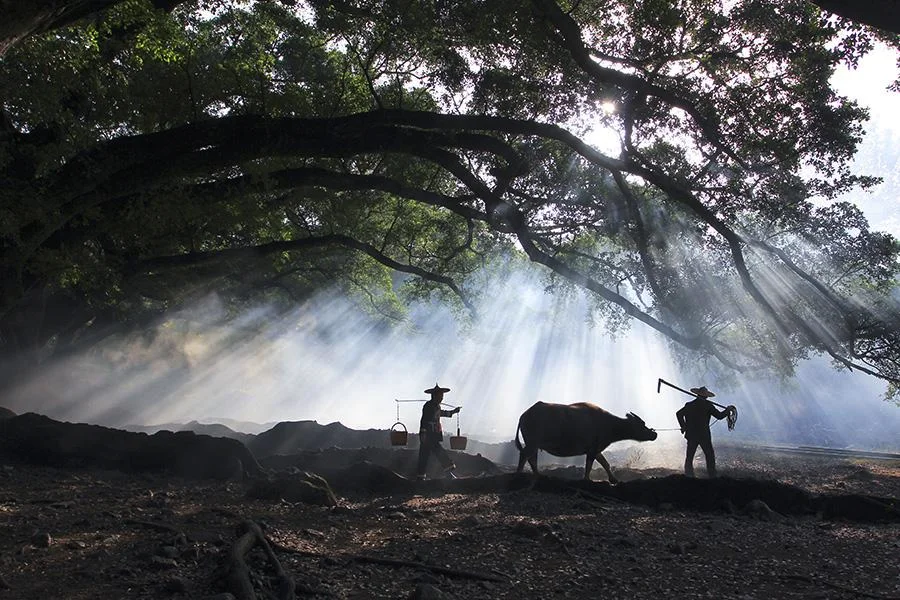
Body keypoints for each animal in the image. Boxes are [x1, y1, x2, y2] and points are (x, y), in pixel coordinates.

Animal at [516, 400, 656, 486]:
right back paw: (519, 474)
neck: (609, 424)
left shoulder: (596, 449)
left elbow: (605, 463)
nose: (654, 434)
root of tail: (523, 415)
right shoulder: (592, 450)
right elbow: (589, 465)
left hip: (534, 445)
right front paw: (587, 479)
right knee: (524, 455)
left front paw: (614, 479)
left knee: (531, 458)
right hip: (532, 443)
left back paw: (538, 475)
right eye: (642, 424)